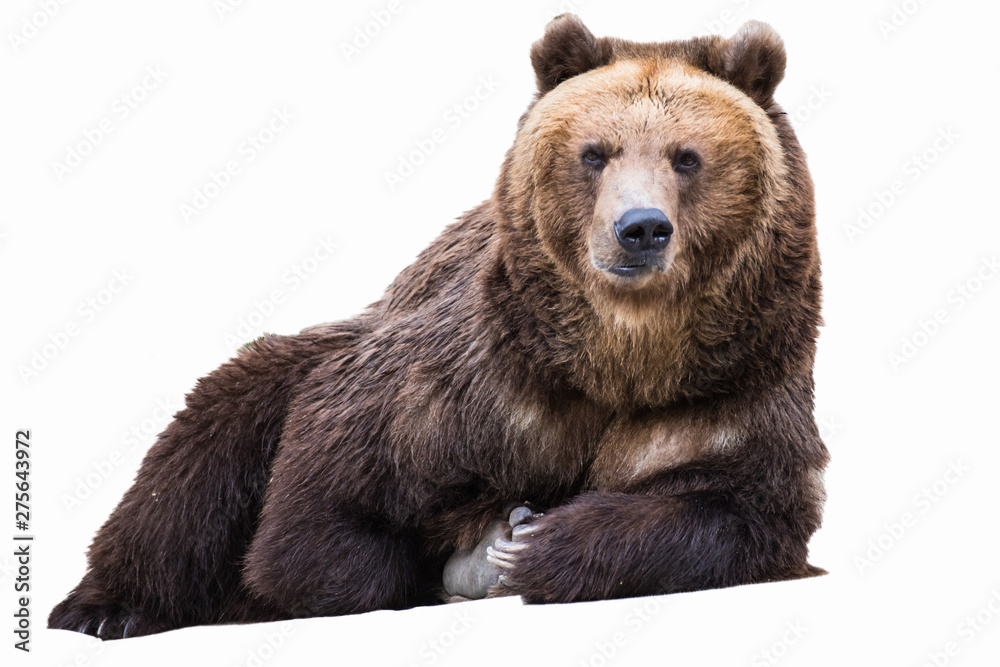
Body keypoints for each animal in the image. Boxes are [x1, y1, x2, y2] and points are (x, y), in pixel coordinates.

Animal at [49, 14, 827, 639]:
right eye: (595, 152)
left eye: (686, 157)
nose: (640, 229)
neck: (620, 356)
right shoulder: (479, 379)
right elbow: (325, 503)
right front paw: (469, 554)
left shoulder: (730, 392)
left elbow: (738, 514)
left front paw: (530, 544)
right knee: (205, 445)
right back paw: (105, 608)